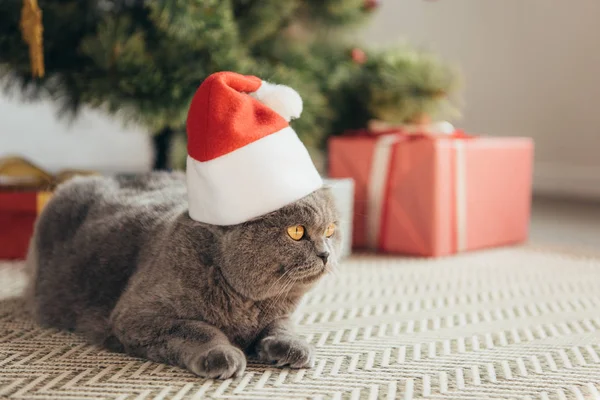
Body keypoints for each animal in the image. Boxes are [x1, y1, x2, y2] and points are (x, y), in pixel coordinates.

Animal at [24, 172, 342, 378]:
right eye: (296, 231)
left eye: (330, 230)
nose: (326, 254)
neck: (247, 304)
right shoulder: (137, 316)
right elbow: (199, 328)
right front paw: (221, 354)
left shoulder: (280, 312)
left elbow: (282, 325)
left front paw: (291, 347)